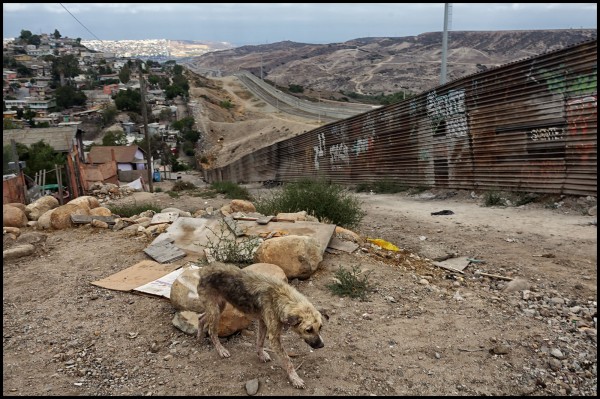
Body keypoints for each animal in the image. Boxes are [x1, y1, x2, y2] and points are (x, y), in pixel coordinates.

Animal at [195, 264, 326, 390]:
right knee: (212, 331)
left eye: (320, 327)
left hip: (219, 307)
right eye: (308, 330)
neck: (281, 297)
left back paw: (199, 337)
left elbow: (260, 341)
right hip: (215, 311)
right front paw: (295, 378)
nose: (321, 345)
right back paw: (221, 350)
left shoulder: (263, 322)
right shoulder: (274, 338)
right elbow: (287, 359)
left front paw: (261, 355)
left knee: (200, 318)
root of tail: (203, 270)